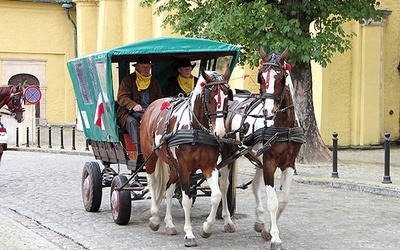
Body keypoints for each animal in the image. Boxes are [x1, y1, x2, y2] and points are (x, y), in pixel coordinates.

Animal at [140, 65, 230, 247]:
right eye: (209, 98)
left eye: (226, 96)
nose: (220, 133)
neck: (195, 128)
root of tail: (152, 106)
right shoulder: (184, 168)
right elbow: (187, 200)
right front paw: (189, 234)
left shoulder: (209, 167)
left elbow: (216, 196)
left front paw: (206, 228)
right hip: (150, 157)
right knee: (153, 184)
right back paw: (155, 217)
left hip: (173, 166)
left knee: (168, 189)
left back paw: (169, 223)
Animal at [220, 45, 304, 250]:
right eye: (260, 77)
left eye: (281, 78)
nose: (268, 111)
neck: (282, 126)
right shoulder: (270, 163)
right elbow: (272, 201)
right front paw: (274, 237)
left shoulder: (288, 164)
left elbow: (283, 200)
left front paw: (267, 229)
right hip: (227, 154)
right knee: (224, 185)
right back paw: (227, 221)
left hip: (257, 158)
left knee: (254, 186)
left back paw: (259, 220)